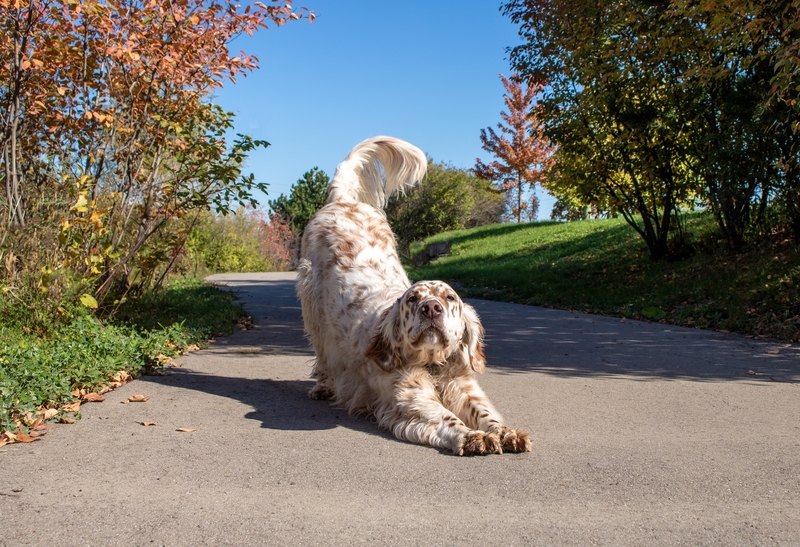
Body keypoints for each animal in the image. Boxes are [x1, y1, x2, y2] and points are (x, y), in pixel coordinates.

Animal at [294, 138, 532, 458]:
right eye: (412, 299)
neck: (432, 365)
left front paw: (505, 432)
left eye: (449, 298)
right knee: (322, 355)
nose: (431, 308)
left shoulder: (463, 387)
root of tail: (342, 201)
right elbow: (447, 418)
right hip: (312, 304)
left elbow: (487, 414)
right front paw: (473, 436)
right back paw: (323, 386)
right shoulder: (410, 399)